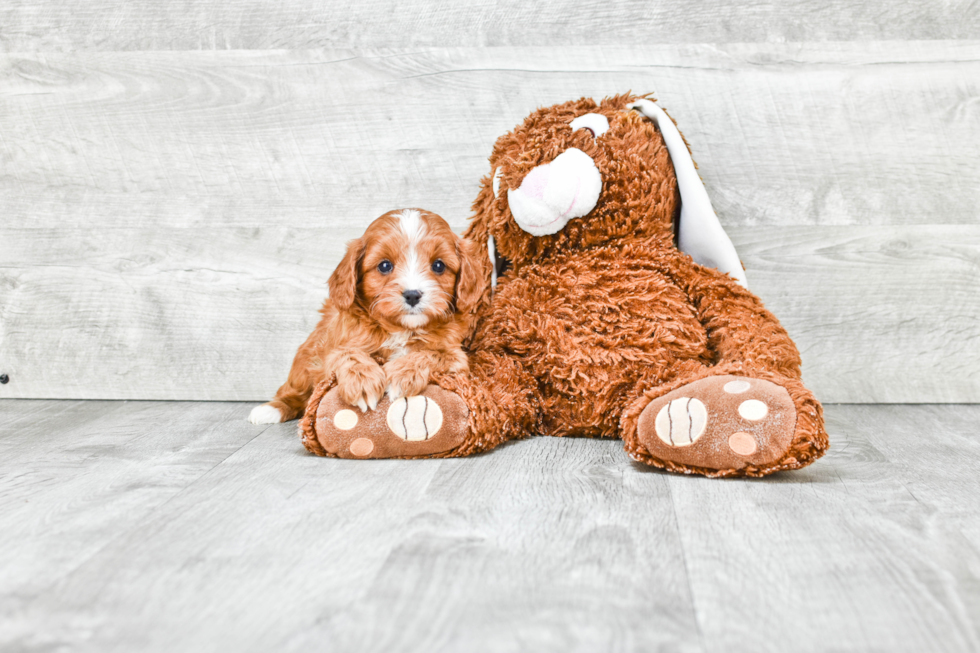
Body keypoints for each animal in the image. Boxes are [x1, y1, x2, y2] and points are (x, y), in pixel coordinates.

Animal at [251, 206, 484, 426]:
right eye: (384, 265)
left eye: (438, 265)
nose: (412, 295)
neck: (401, 329)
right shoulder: (333, 350)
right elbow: (347, 354)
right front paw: (362, 382)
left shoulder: (456, 356)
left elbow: (430, 353)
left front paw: (402, 373)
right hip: (305, 359)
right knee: (294, 391)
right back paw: (270, 409)